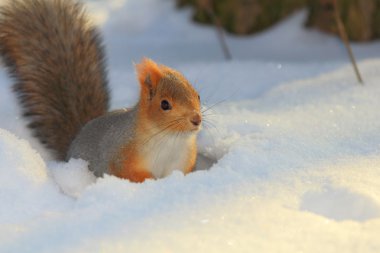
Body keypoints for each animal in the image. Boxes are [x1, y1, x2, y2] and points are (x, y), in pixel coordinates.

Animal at [0, 0, 202, 182]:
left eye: (198, 95)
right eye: (164, 104)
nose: (196, 119)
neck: (169, 139)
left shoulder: (181, 163)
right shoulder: (120, 156)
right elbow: (128, 173)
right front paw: (150, 181)